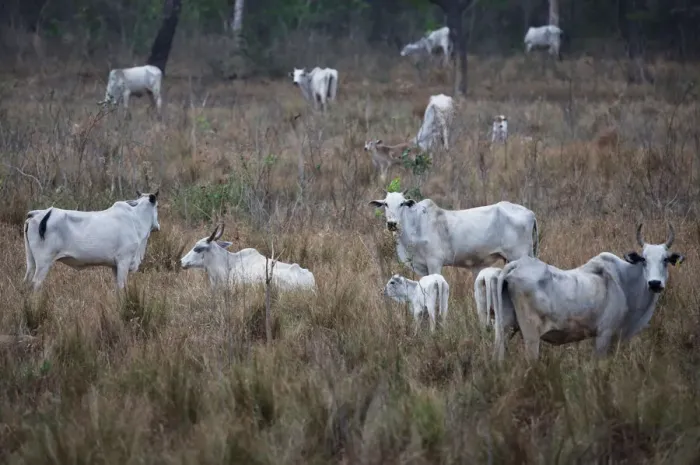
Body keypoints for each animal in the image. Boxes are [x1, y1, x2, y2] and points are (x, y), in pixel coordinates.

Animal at [23, 191, 160, 292]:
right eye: (157, 206)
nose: (158, 226)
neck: (135, 219)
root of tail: (37, 214)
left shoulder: (115, 265)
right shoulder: (123, 260)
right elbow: (122, 287)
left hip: (31, 261)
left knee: (27, 281)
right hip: (44, 262)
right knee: (36, 283)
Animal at [368, 191, 539, 277]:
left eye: (402, 203)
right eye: (385, 204)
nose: (392, 223)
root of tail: (530, 213)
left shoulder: (434, 262)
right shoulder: (422, 268)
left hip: (519, 255)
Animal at [494, 223, 685, 361]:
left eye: (665, 260)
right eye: (644, 259)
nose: (654, 283)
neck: (625, 281)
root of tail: (517, 265)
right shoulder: (604, 334)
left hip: (506, 329)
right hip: (531, 336)